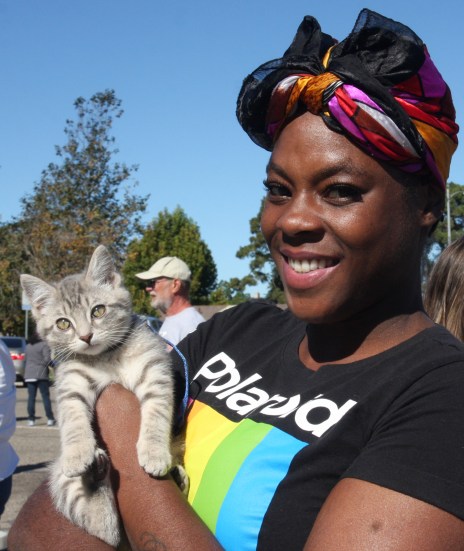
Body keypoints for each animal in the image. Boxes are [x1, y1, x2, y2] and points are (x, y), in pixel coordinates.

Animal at [20, 245, 188, 547]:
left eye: (98, 311)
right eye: (63, 324)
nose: (86, 336)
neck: (106, 358)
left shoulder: (155, 371)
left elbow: (157, 413)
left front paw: (154, 451)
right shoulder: (70, 380)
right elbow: (72, 417)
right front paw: (78, 451)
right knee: (104, 529)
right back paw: (94, 474)